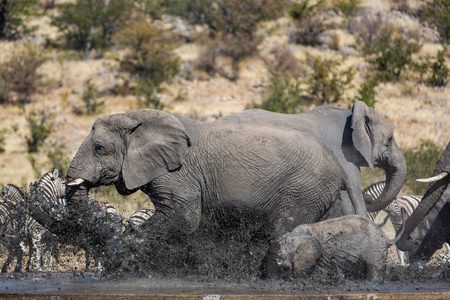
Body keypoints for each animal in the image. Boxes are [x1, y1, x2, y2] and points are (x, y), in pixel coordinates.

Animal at [65, 109, 358, 245]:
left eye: (99, 148)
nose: (113, 219)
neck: (135, 118)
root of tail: (339, 166)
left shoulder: (179, 174)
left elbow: (183, 217)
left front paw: (128, 239)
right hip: (321, 193)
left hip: (303, 190)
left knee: (282, 229)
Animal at [262, 214, 402, 282]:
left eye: (285, 269)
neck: (293, 236)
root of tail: (384, 235)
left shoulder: (322, 256)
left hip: (375, 249)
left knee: (374, 270)